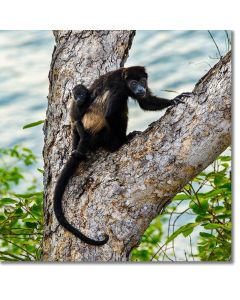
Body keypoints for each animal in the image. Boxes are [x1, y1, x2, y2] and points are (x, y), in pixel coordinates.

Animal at [53, 66, 192, 246]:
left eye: (142, 81)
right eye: (133, 83)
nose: (140, 89)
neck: (123, 78)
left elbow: (145, 101)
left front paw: (174, 100)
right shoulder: (118, 90)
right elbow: (112, 115)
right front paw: (122, 141)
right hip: (100, 135)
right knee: (120, 112)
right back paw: (116, 143)